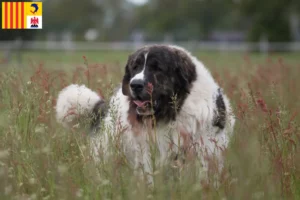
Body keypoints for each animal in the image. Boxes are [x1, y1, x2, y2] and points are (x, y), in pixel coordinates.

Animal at [55, 44, 236, 180]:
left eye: (157, 68)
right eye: (135, 67)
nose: (135, 84)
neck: (173, 113)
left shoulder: (206, 150)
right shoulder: (148, 154)